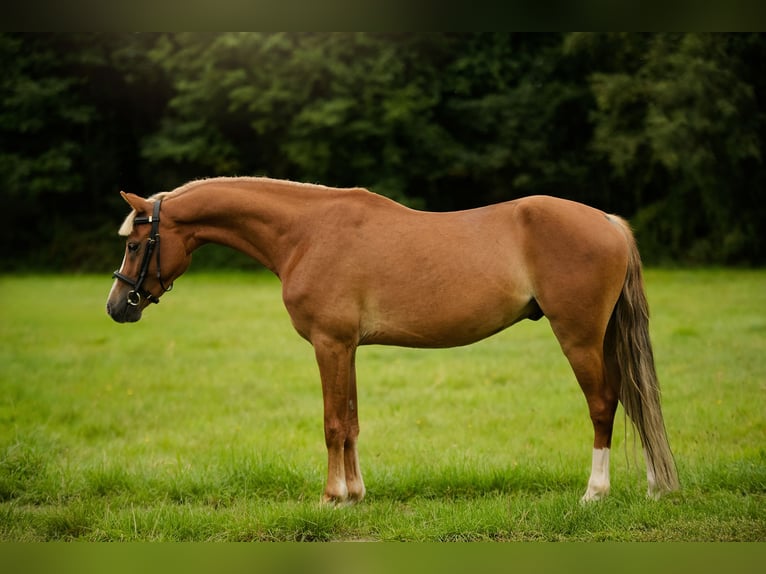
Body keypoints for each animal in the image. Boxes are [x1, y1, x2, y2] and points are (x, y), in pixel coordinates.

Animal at [106, 176, 679, 504]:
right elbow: (352, 422)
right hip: (605, 338)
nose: (117, 307)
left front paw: (333, 497)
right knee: (633, 399)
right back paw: (655, 485)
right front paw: (356, 493)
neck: (307, 233)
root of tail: (608, 221)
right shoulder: (347, 348)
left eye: (135, 244)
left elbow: (333, 424)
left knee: (603, 404)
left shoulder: (329, 344)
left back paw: (595, 492)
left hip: (578, 336)